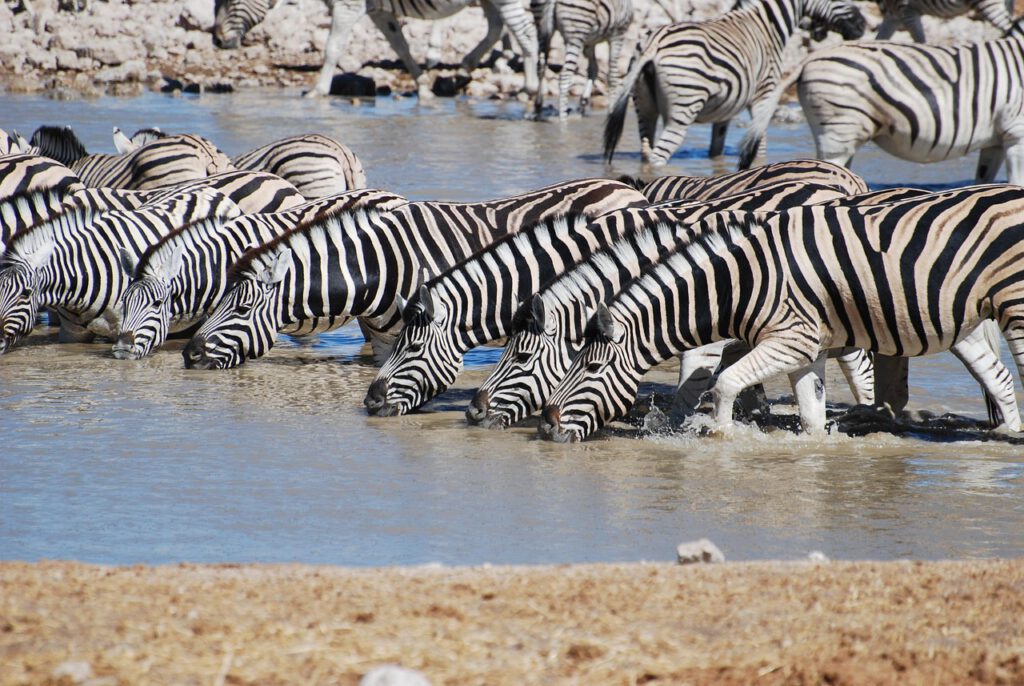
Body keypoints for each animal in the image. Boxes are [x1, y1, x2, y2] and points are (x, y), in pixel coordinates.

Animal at [212, 0, 540, 100]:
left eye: (231, 0)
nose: (215, 41)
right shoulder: (379, 11)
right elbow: (401, 46)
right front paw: (423, 85)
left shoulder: (348, 6)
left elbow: (332, 47)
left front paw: (318, 90)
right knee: (497, 26)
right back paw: (462, 69)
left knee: (525, 33)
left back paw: (529, 87)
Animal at [537, 184, 1024, 442]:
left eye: (591, 368)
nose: (547, 425)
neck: (738, 282)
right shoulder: (808, 350)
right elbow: (810, 414)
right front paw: (815, 451)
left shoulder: (789, 339)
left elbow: (721, 383)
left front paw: (719, 437)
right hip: (966, 317)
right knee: (998, 378)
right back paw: (1007, 434)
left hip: (1014, 305)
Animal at [602, 0, 865, 168]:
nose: (863, 25)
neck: (766, 25)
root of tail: (654, 41)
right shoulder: (763, 94)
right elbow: (760, 144)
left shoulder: (725, 110)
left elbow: (716, 148)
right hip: (684, 104)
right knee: (659, 156)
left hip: (644, 105)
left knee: (646, 149)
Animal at [774, 27, 1024, 186]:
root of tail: (810, 59)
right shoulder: (1016, 132)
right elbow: (1016, 183)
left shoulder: (997, 140)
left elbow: (984, 180)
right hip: (838, 131)